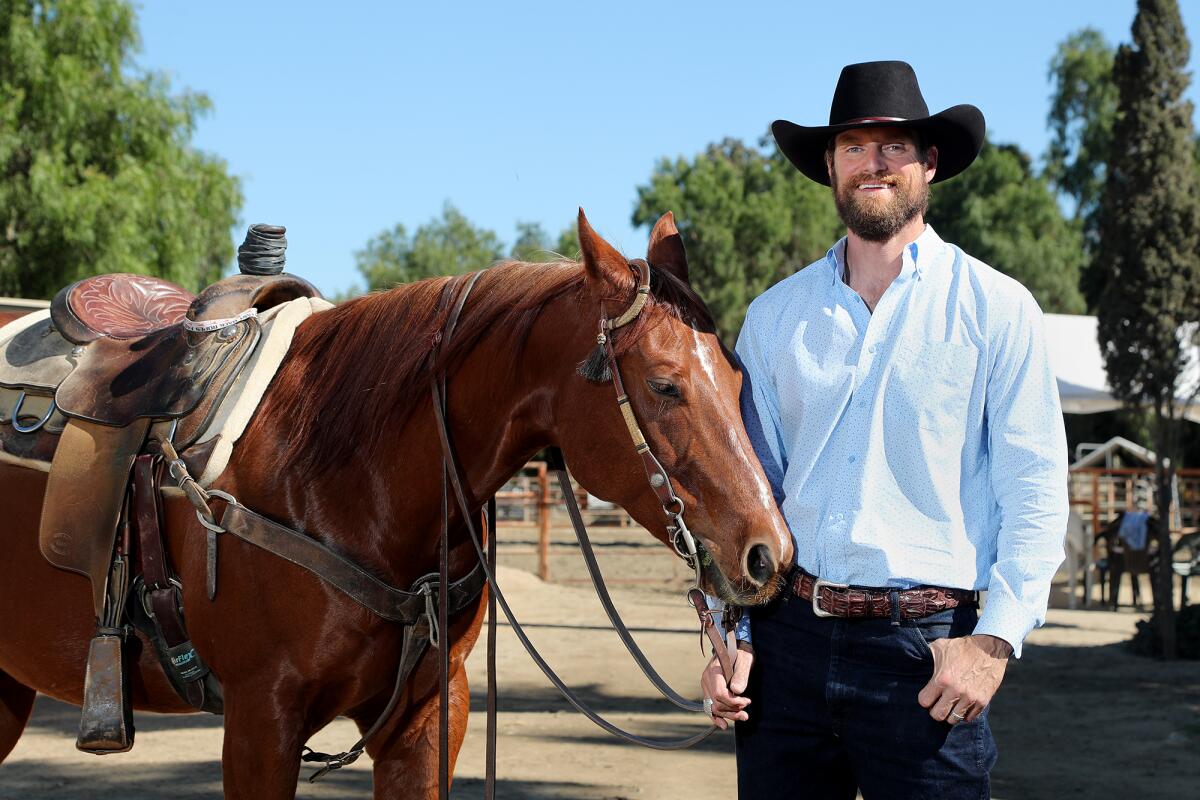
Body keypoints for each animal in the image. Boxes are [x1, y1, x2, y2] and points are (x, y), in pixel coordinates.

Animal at [0, 209, 796, 796]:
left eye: (737, 374)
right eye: (664, 384)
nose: (770, 552)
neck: (341, 475)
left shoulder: (428, 720)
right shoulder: (261, 723)